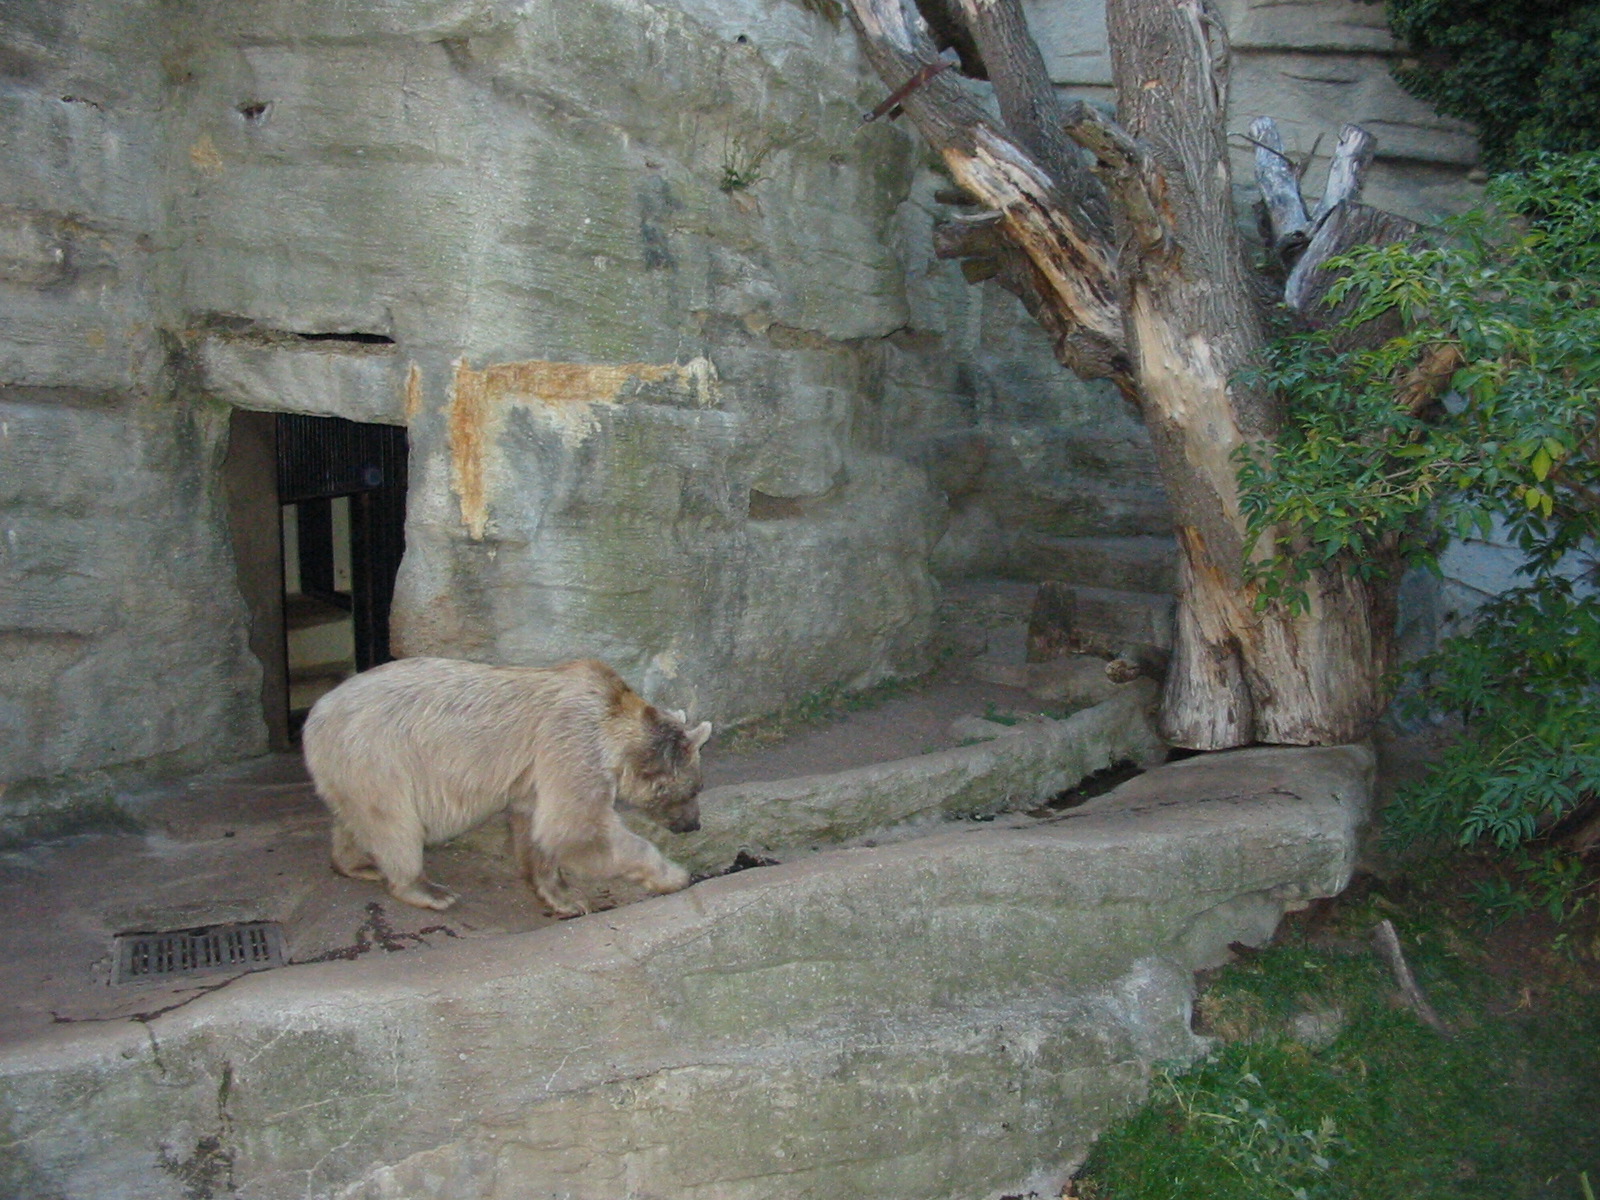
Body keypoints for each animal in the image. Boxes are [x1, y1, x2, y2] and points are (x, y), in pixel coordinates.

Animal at [301, 656, 712, 916]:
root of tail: (315, 713)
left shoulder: (537, 775)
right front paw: (674, 875)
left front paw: (562, 896)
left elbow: (537, 826)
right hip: (378, 754)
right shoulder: (573, 741)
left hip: (352, 765)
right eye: (696, 789)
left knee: (355, 817)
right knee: (394, 823)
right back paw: (425, 889)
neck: (613, 720)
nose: (693, 824)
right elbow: (577, 826)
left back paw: (357, 864)